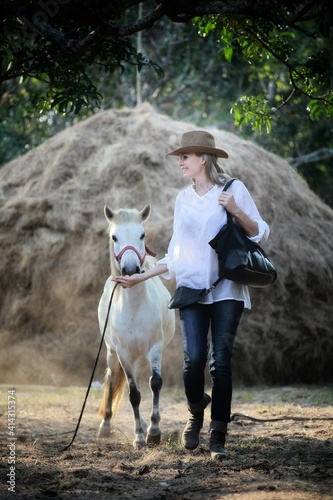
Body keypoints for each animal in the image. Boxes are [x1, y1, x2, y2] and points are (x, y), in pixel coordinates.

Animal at [96, 203, 175, 450]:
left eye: (142, 235)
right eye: (114, 237)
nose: (130, 269)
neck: (133, 308)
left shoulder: (155, 349)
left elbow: (155, 384)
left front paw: (154, 431)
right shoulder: (123, 353)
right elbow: (133, 394)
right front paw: (139, 437)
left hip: (140, 357)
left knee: (140, 382)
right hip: (113, 353)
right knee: (113, 379)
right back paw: (106, 425)